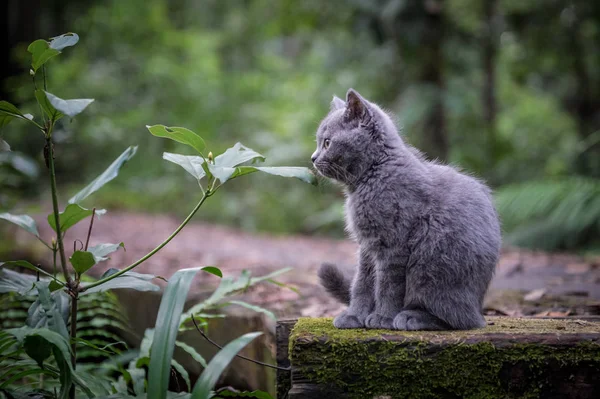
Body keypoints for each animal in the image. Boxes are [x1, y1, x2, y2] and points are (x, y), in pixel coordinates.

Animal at [312, 90, 500, 332]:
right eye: (319, 143)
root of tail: (479, 307)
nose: (313, 158)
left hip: (430, 268)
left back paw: (412, 317)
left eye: (327, 142)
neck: (374, 173)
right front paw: (354, 316)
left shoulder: (395, 244)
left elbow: (388, 285)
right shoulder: (367, 245)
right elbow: (362, 282)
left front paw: (382, 318)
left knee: (459, 320)